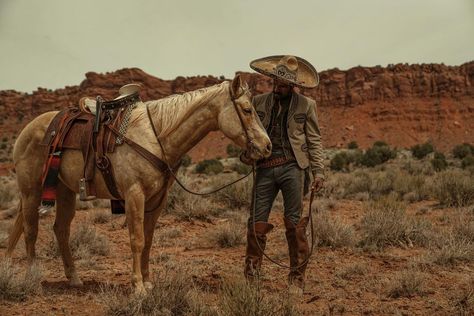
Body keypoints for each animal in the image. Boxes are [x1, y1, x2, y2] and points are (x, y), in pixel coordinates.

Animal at [5, 74, 270, 294]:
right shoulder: (134, 195)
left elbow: (149, 240)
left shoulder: (157, 200)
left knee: (60, 229)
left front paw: (148, 281)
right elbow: (137, 239)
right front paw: (138, 287)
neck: (156, 135)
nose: (267, 146)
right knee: (31, 229)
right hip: (31, 190)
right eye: (247, 110)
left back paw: (74, 278)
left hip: (65, 191)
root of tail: (28, 129)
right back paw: (33, 277)